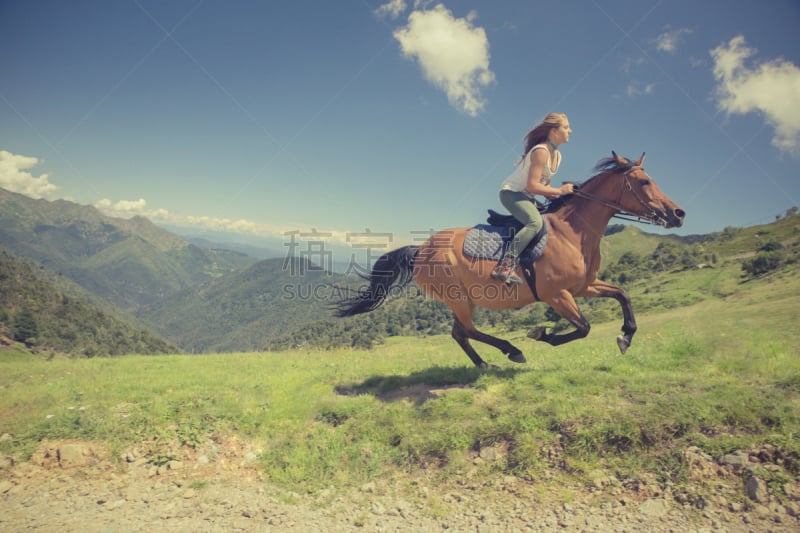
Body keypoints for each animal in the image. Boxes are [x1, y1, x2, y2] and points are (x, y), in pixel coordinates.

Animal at [334, 152, 684, 368]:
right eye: (644, 182)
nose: (678, 213)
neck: (573, 232)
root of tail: (420, 250)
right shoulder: (558, 295)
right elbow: (583, 327)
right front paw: (542, 335)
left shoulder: (584, 286)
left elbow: (622, 295)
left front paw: (626, 335)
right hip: (457, 297)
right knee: (466, 331)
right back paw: (511, 351)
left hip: (464, 299)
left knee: (459, 333)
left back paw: (484, 363)